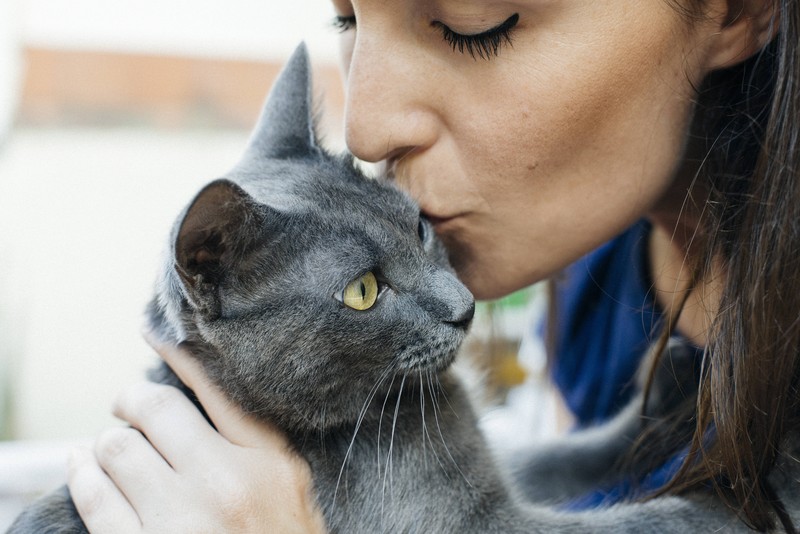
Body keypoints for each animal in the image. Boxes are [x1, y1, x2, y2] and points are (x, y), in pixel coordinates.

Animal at [7, 44, 800, 532]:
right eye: (362, 290)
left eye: (417, 225)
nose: (463, 307)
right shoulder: (463, 521)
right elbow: (660, 518)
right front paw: (771, 480)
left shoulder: (496, 463)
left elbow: (565, 453)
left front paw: (679, 387)